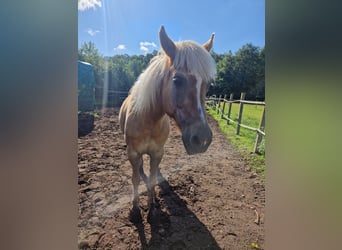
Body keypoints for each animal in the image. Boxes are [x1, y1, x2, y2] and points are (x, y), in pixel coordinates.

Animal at [119, 25, 216, 223]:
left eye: (207, 84)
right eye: (177, 80)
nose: (202, 139)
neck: (148, 121)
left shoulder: (157, 152)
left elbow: (153, 179)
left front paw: (153, 209)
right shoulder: (132, 153)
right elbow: (135, 179)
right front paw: (135, 210)